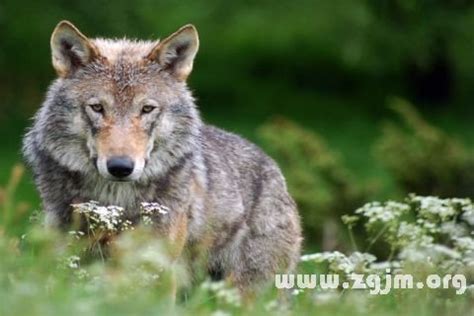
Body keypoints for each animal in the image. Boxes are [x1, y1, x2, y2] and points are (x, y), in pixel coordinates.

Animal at [22, 21, 302, 292]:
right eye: (97, 108)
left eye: (147, 109)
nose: (120, 167)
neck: (115, 203)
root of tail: (274, 169)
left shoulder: (158, 270)